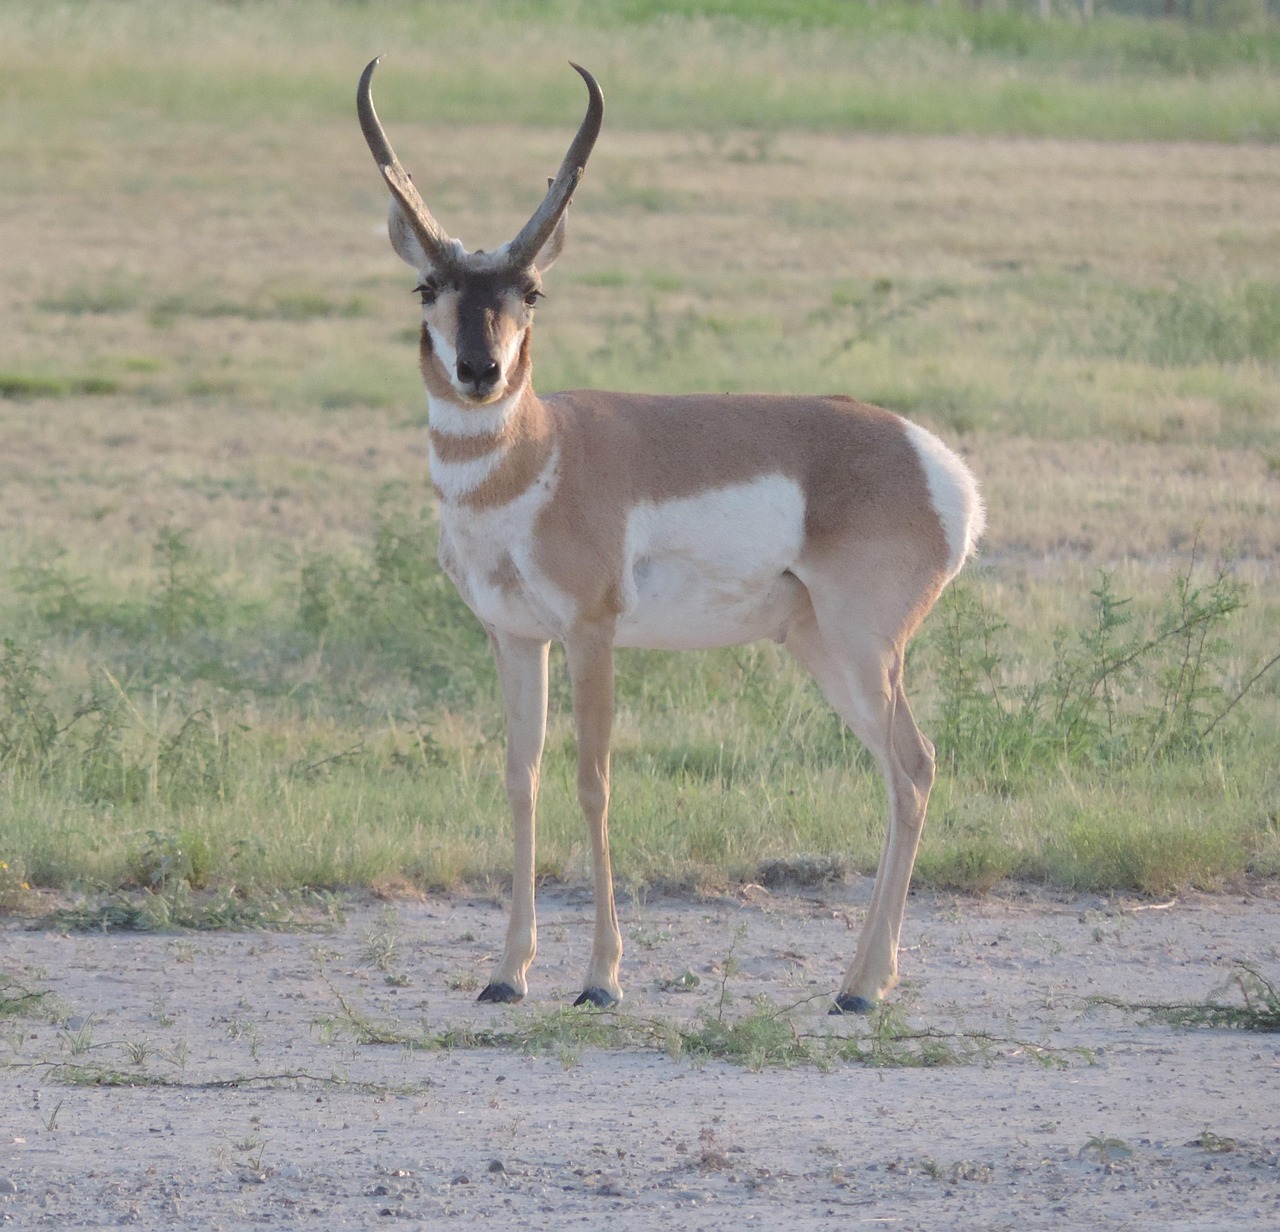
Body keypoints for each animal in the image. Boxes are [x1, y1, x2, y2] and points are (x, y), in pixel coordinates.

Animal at [357, 57, 984, 1013]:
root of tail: (935, 464)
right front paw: (507, 974)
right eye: (430, 286)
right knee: (900, 769)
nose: (480, 371)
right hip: (821, 649)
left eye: (530, 290)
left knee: (912, 767)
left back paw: (860, 988)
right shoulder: (515, 638)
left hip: (862, 647)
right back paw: (864, 980)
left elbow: (594, 783)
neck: (539, 451)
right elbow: (520, 780)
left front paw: (601, 980)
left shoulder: (592, 633)